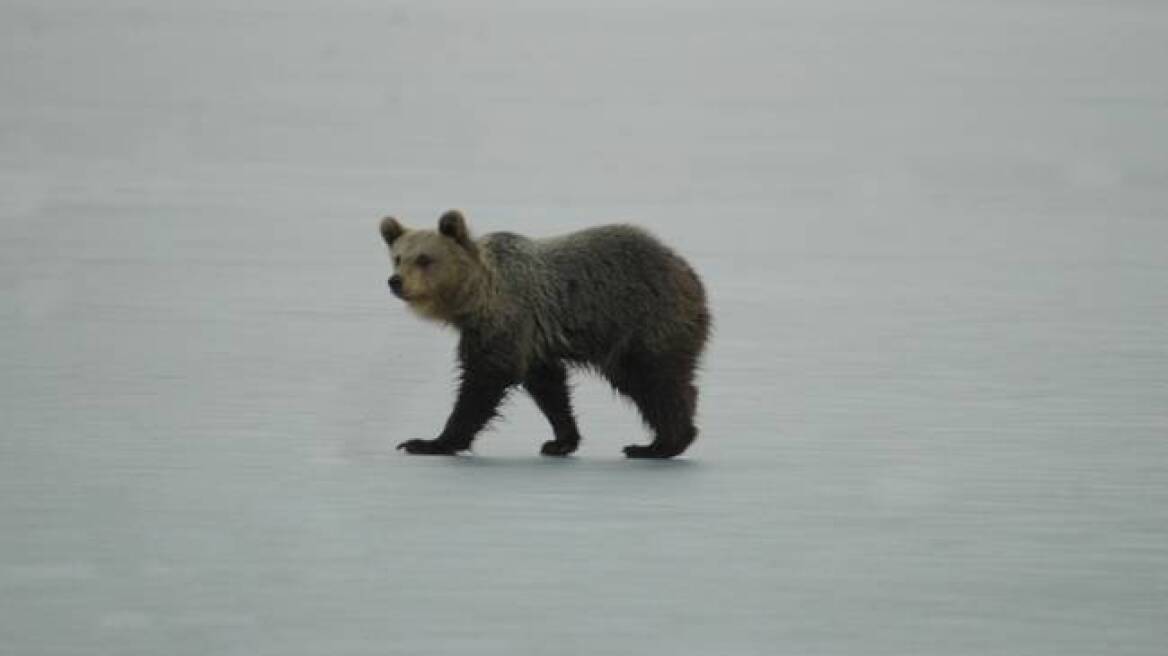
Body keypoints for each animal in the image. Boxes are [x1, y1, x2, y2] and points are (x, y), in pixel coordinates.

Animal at [383, 212, 710, 457]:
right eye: (397, 257)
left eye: (424, 259)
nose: (395, 281)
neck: (477, 296)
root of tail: (689, 274)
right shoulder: (532, 338)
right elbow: (548, 385)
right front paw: (561, 440)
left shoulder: (507, 320)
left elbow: (484, 379)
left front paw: (428, 442)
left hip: (642, 319)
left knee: (650, 378)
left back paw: (660, 444)